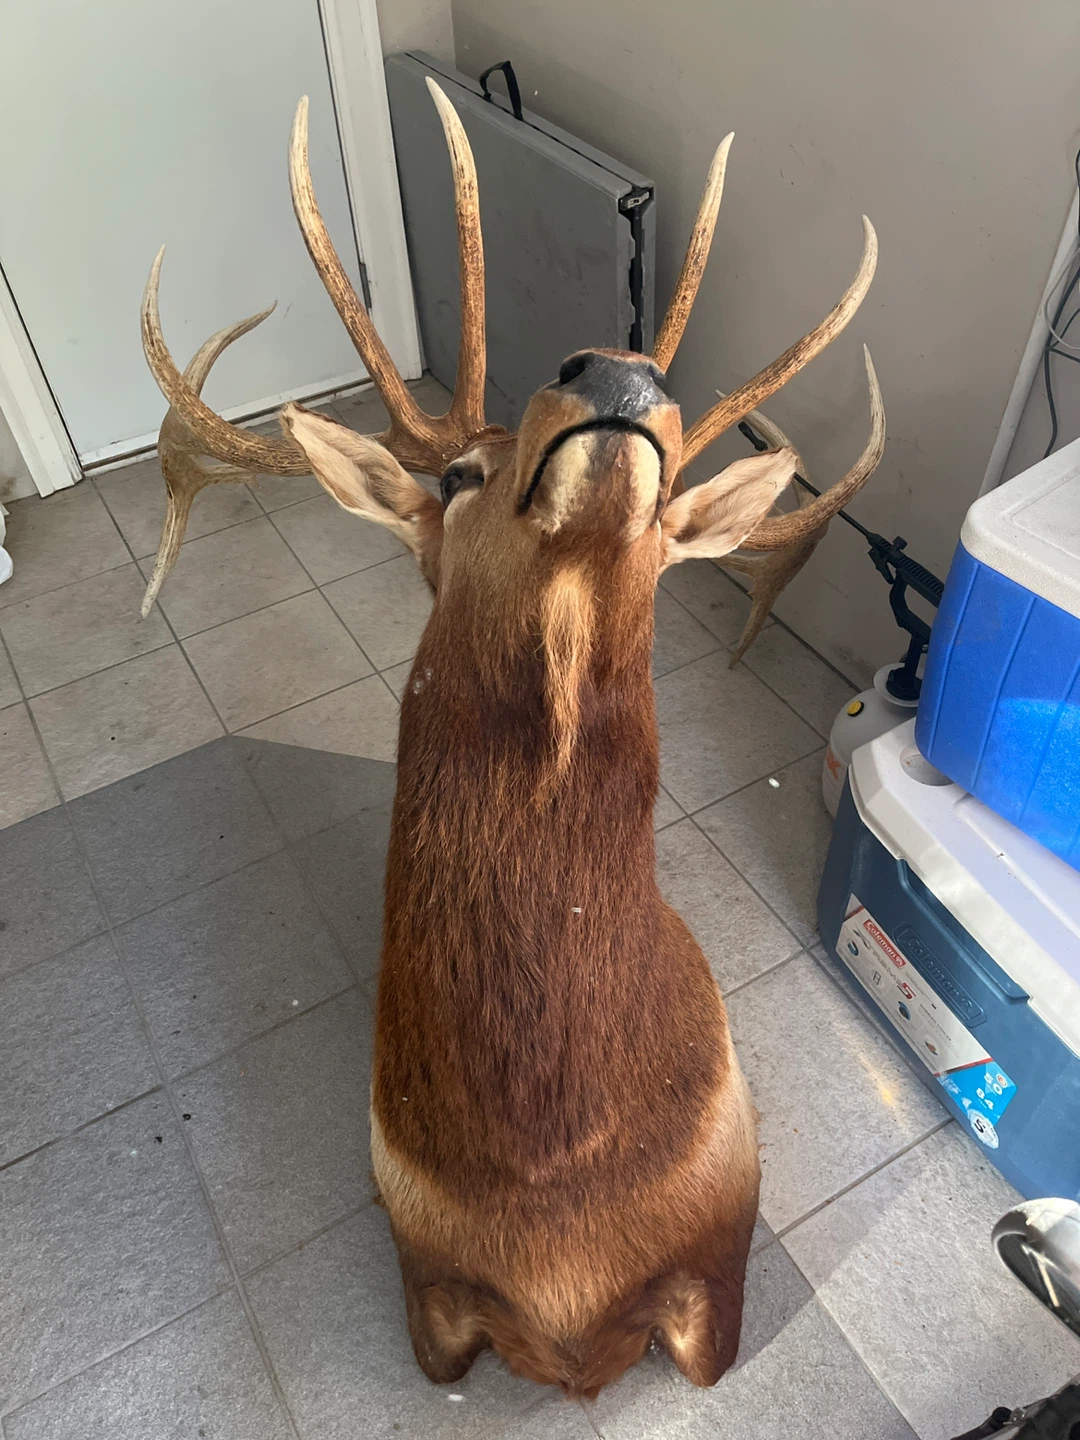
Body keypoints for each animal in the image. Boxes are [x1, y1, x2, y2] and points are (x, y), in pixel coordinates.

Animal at [140, 81, 885, 1396]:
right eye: (457, 478)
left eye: (672, 496)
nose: (619, 369)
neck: (554, 1178)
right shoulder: (428, 1297)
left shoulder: (723, 1260)